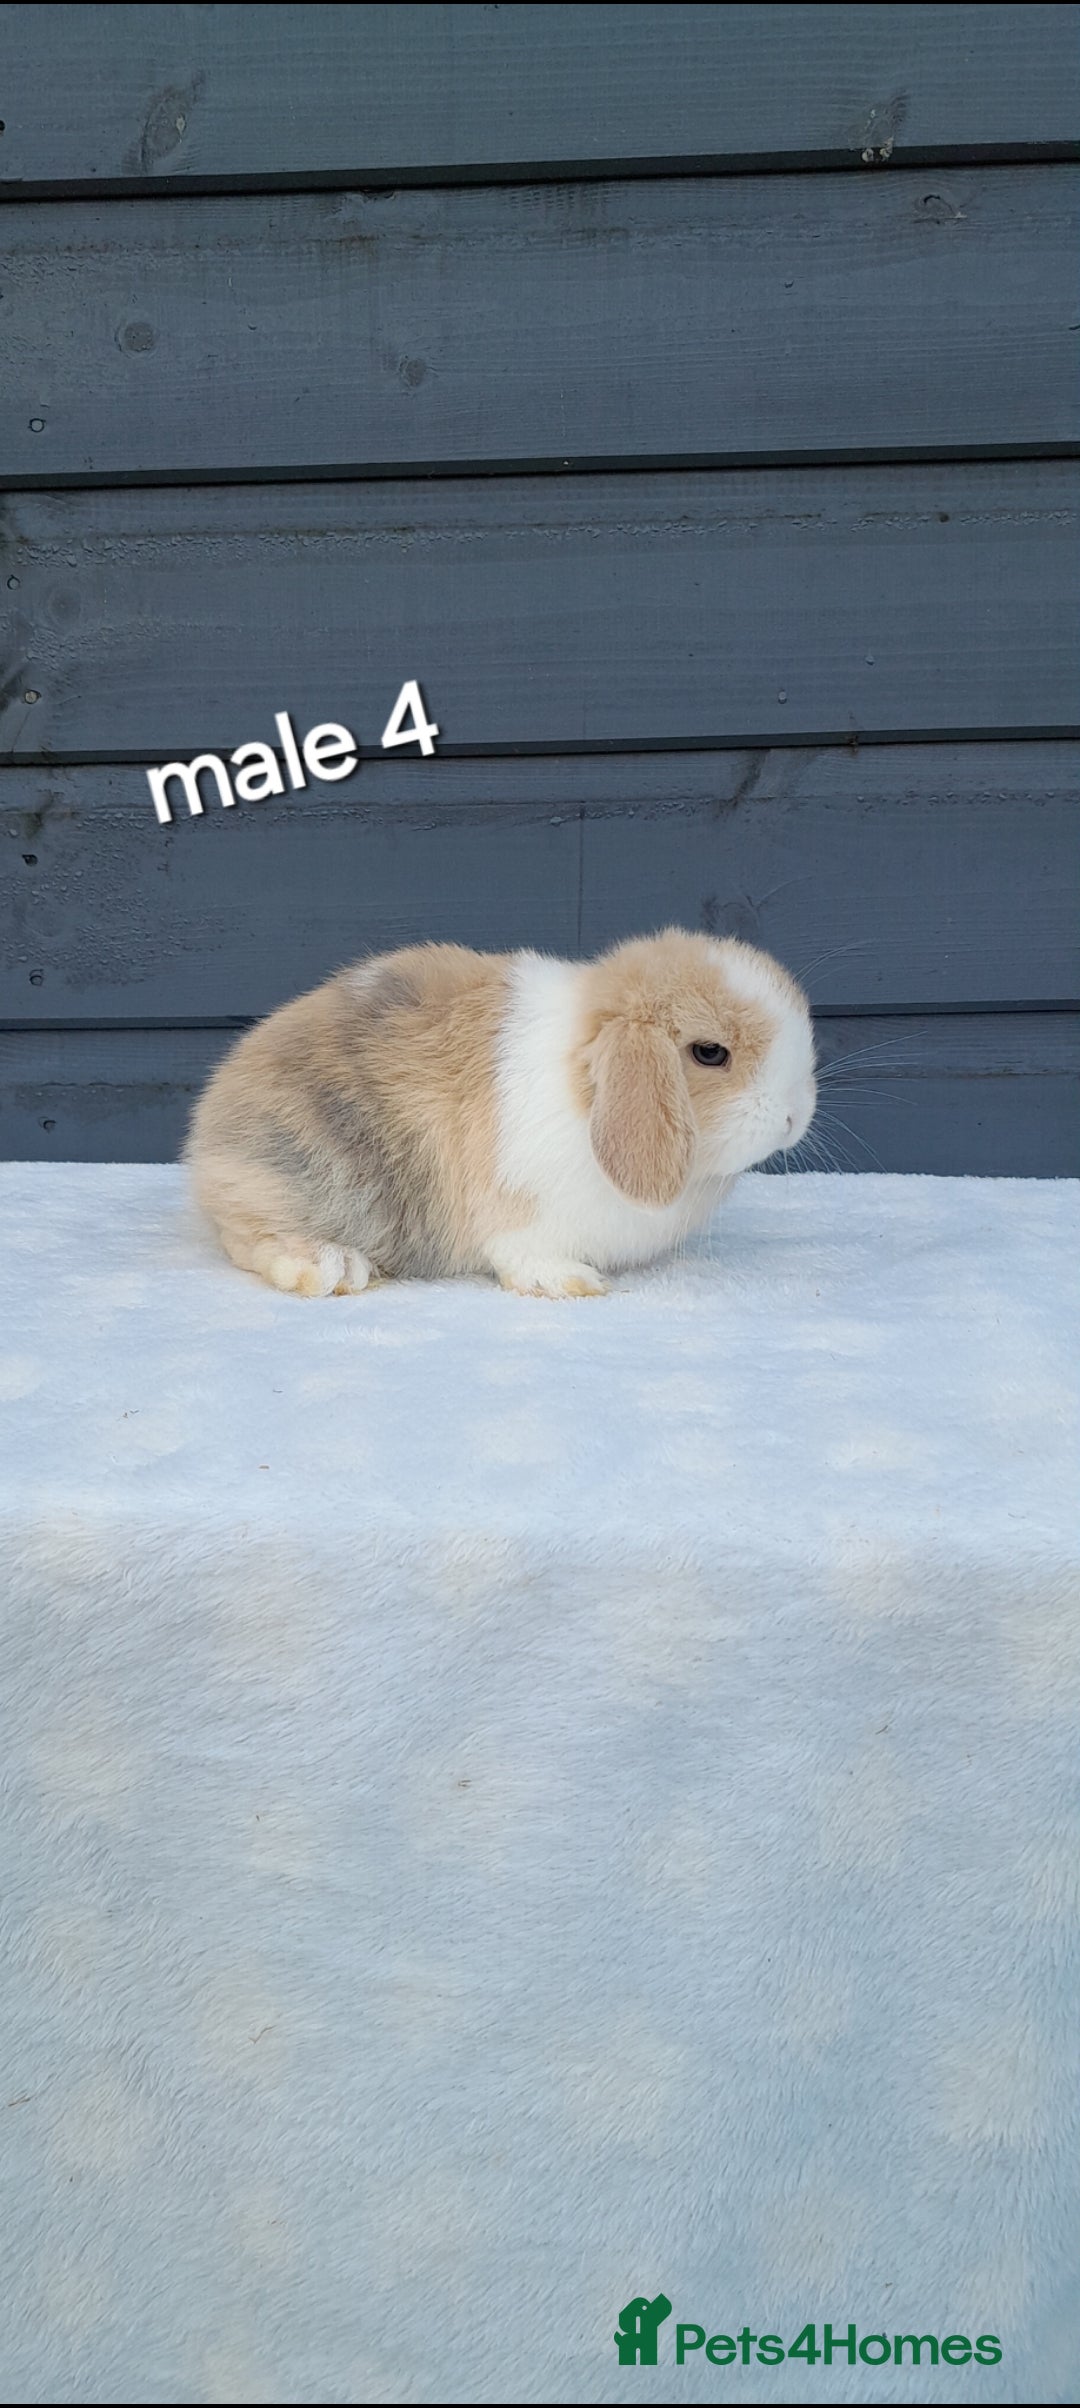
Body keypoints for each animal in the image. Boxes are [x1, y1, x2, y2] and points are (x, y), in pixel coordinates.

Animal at [185, 928, 817, 1299]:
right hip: (298, 1173)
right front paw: (570, 1282)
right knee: (249, 1237)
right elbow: (525, 1253)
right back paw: (333, 1267)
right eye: (710, 1053)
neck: (586, 1092)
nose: (796, 1115)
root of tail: (206, 1132)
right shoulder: (523, 1212)